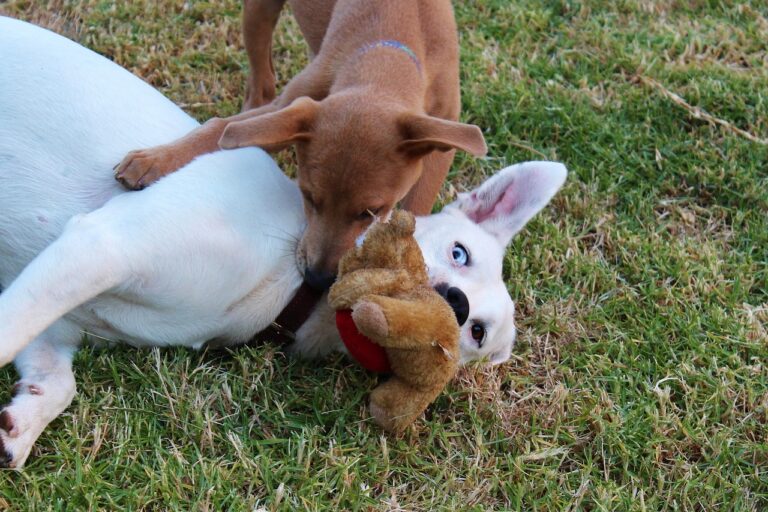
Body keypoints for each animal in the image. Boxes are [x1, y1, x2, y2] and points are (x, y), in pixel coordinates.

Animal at [114, 0, 486, 288]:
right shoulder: (296, 103)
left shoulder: (442, 137)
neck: (389, 51)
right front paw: (153, 160)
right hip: (259, 12)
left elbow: (418, 205)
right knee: (260, 80)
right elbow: (220, 128)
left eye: (371, 212)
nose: (317, 280)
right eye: (307, 197)